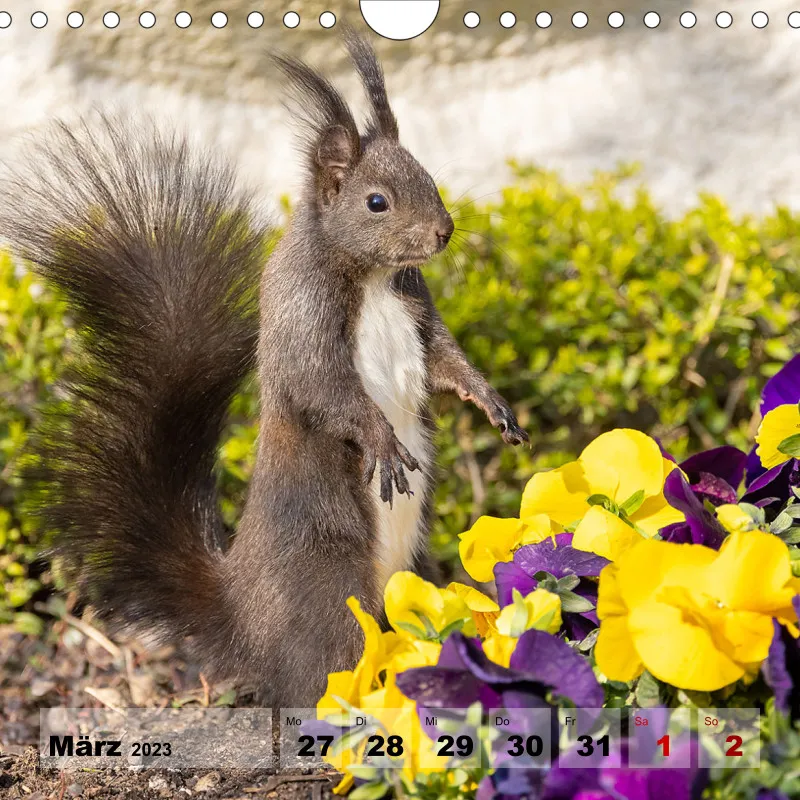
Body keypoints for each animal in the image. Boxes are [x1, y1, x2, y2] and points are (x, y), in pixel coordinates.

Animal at [2, 33, 528, 707]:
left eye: (429, 177)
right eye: (376, 202)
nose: (443, 232)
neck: (372, 277)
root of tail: (243, 619)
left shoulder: (419, 310)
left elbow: (445, 359)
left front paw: (492, 403)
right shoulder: (305, 323)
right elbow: (325, 390)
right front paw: (382, 440)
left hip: (412, 568)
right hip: (330, 587)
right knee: (319, 673)